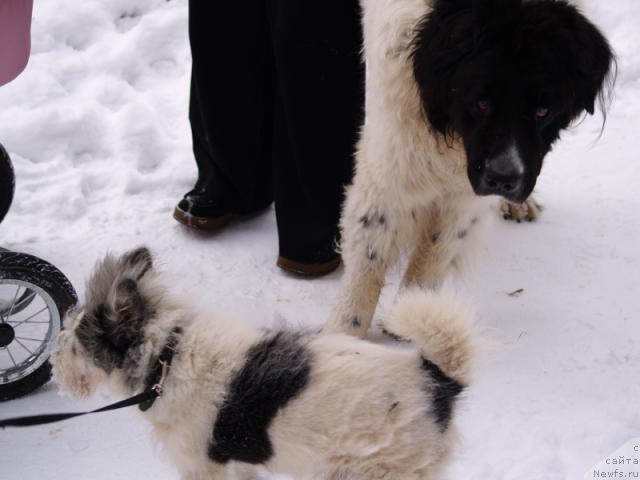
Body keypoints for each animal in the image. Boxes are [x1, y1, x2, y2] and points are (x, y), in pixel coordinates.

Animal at [328, 0, 616, 338]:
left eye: (543, 111)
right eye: (481, 103)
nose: (503, 179)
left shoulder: (464, 190)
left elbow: (435, 251)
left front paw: (414, 312)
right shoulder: (390, 162)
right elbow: (369, 259)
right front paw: (342, 336)